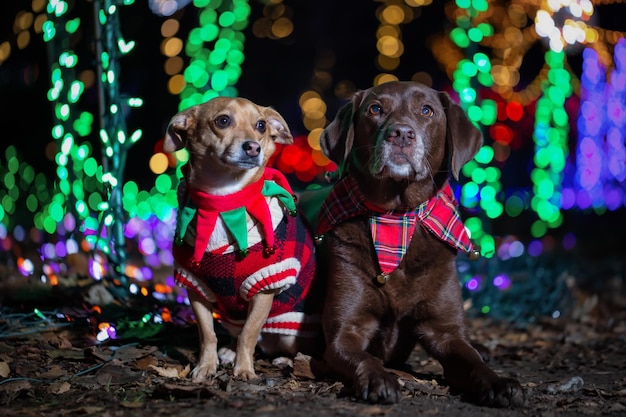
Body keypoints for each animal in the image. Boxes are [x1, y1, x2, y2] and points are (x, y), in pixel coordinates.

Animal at [163, 96, 316, 380]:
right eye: (223, 120)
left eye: (261, 126)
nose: (253, 147)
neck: (223, 202)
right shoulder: (194, 285)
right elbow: (208, 334)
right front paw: (206, 366)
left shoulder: (264, 287)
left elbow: (249, 333)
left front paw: (244, 370)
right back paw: (229, 352)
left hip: (291, 328)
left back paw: (286, 360)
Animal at [314, 81, 524, 406]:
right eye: (375, 109)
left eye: (427, 110)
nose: (401, 133)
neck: (399, 219)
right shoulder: (345, 332)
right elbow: (363, 357)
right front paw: (379, 379)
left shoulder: (446, 333)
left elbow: (472, 361)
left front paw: (500, 382)